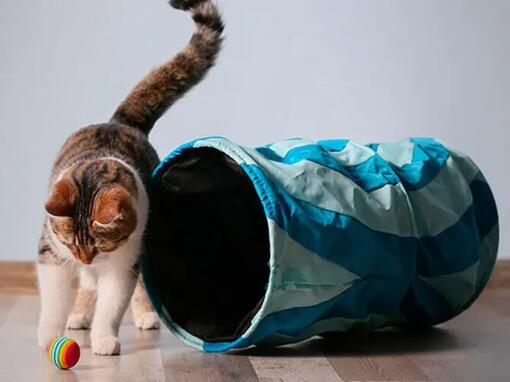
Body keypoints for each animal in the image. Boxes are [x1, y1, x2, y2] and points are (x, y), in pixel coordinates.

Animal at [36, 0, 224, 356]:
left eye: (99, 243)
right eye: (71, 243)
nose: (84, 257)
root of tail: (120, 121)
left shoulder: (124, 260)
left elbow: (114, 301)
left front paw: (104, 339)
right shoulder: (52, 253)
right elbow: (53, 299)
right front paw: (50, 336)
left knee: (136, 287)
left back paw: (146, 316)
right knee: (86, 284)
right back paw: (79, 314)